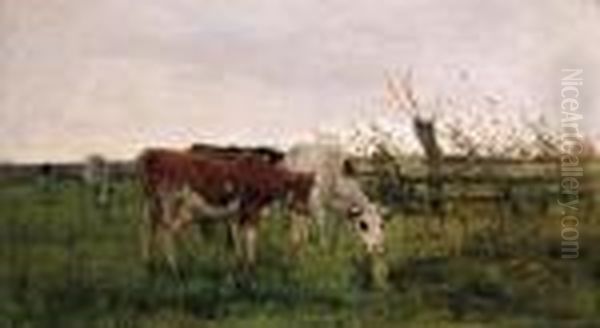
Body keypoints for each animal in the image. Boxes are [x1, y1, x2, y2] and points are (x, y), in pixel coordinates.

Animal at [137, 149, 314, 272]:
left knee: (149, 230)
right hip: (170, 204)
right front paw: (251, 267)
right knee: (166, 231)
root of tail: (153, 154)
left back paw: (149, 264)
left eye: (309, 191)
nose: (308, 211)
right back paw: (173, 267)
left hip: (152, 206)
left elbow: (239, 241)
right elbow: (250, 239)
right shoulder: (251, 211)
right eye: (301, 192)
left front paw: (241, 266)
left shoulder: (238, 216)